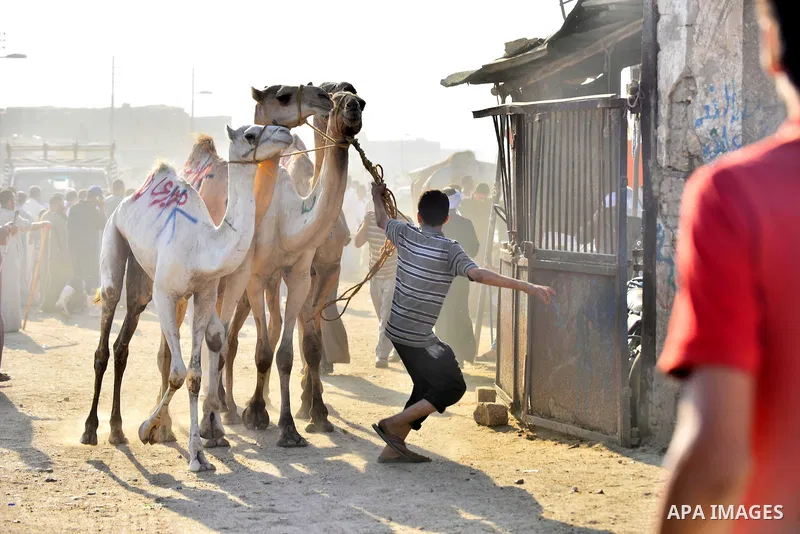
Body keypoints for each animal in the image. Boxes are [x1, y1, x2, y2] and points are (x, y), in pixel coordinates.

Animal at [79, 85, 333, 449]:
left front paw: (206, 435)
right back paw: (93, 429)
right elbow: (181, 368)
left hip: (143, 275)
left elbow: (202, 361)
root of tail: (130, 198)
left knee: (123, 343)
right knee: (110, 324)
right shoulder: (172, 293)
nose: (285, 133)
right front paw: (156, 428)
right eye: (281, 96)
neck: (206, 243)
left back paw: (116, 429)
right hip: (115, 238)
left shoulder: (212, 289)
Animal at [216, 91, 365, 447]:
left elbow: (288, 350)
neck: (287, 221)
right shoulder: (257, 276)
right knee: (225, 337)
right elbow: (262, 349)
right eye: (338, 100)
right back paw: (226, 409)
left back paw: (239, 405)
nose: (354, 107)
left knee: (248, 333)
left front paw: (292, 424)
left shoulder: (297, 274)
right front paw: (257, 415)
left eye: (360, 101)